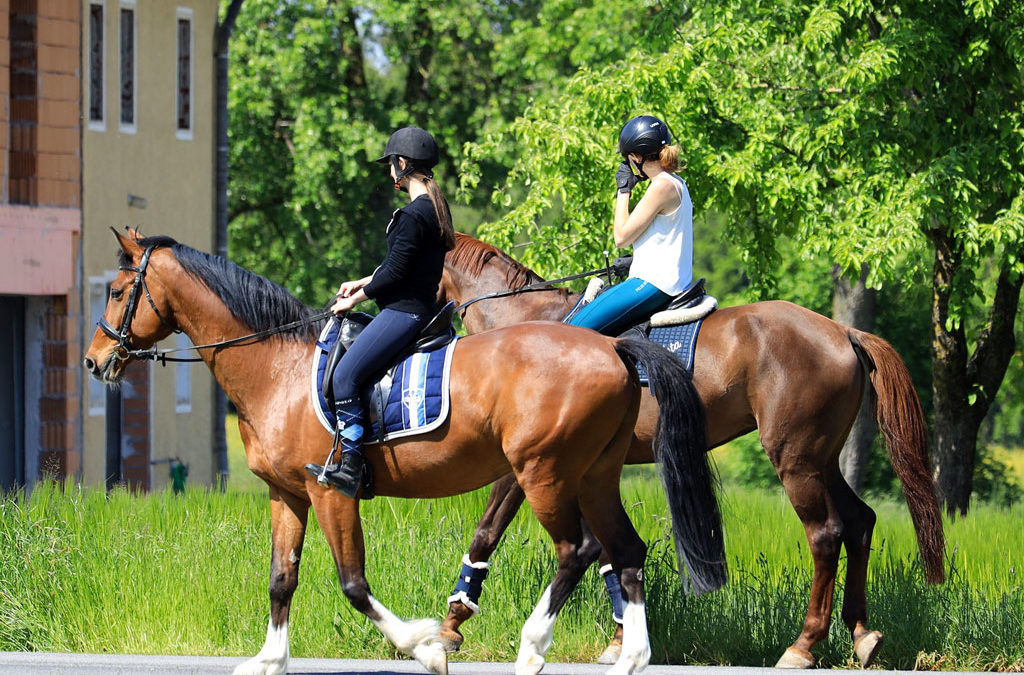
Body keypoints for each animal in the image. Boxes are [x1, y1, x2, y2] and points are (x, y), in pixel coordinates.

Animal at [83, 231, 724, 675]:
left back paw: (532, 648)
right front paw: (269, 659)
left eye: (116, 291)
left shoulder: (329, 491)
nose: (93, 361)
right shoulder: (286, 494)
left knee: (577, 550)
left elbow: (352, 583)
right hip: (593, 474)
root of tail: (613, 347)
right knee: (624, 550)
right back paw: (631, 657)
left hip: (545, 473)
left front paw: (426, 647)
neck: (277, 365)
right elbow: (281, 579)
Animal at [432, 232, 942, 671]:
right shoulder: (582, 474)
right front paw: (622, 638)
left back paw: (803, 645)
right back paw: (862, 634)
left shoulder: (527, 467)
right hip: (821, 460)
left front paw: (452, 624)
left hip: (795, 460)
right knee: (859, 521)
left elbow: (488, 531)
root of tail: (841, 330)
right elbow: (608, 551)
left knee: (826, 533)